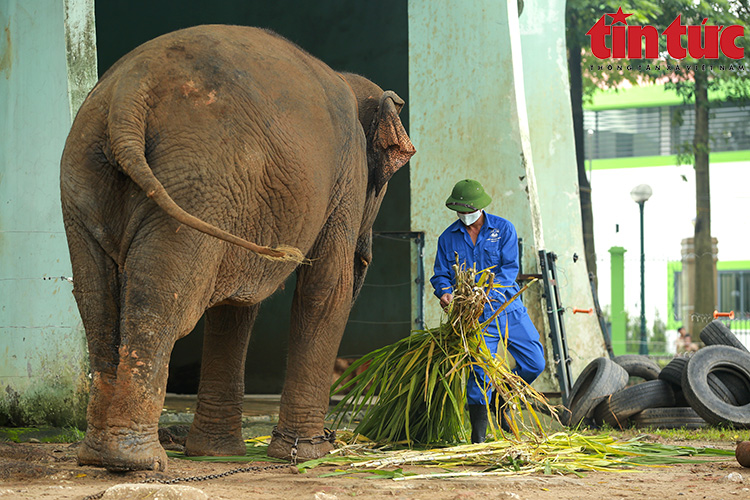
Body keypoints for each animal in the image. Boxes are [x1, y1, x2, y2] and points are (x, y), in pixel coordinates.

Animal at [61, 25, 418, 470]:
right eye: (384, 180)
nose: (332, 438)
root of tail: (129, 93)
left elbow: (234, 307)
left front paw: (217, 453)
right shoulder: (346, 178)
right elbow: (325, 291)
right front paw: (307, 453)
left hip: (89, 175)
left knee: (98, 303)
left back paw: (100, 456)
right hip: (198, 182)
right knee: (162, 302)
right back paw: (137, 460)